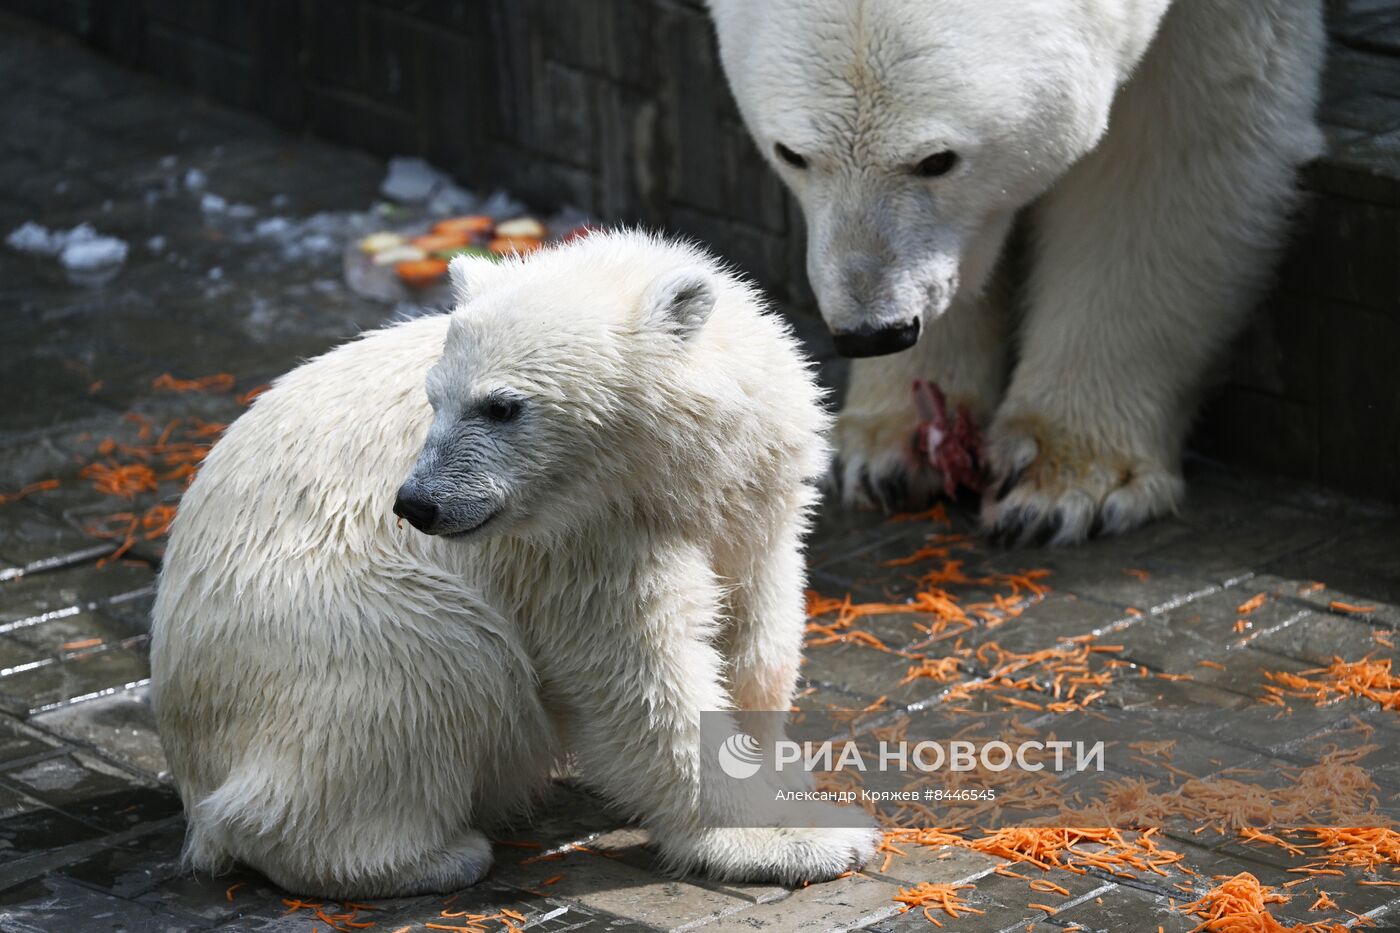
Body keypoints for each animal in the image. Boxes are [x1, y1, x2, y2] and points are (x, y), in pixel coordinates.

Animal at [711, 0, 1321, 540]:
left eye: (938, 160)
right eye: (791, 154)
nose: (873, 331)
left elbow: (1177, 152)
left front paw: (1063, 480)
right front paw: (892, 446)